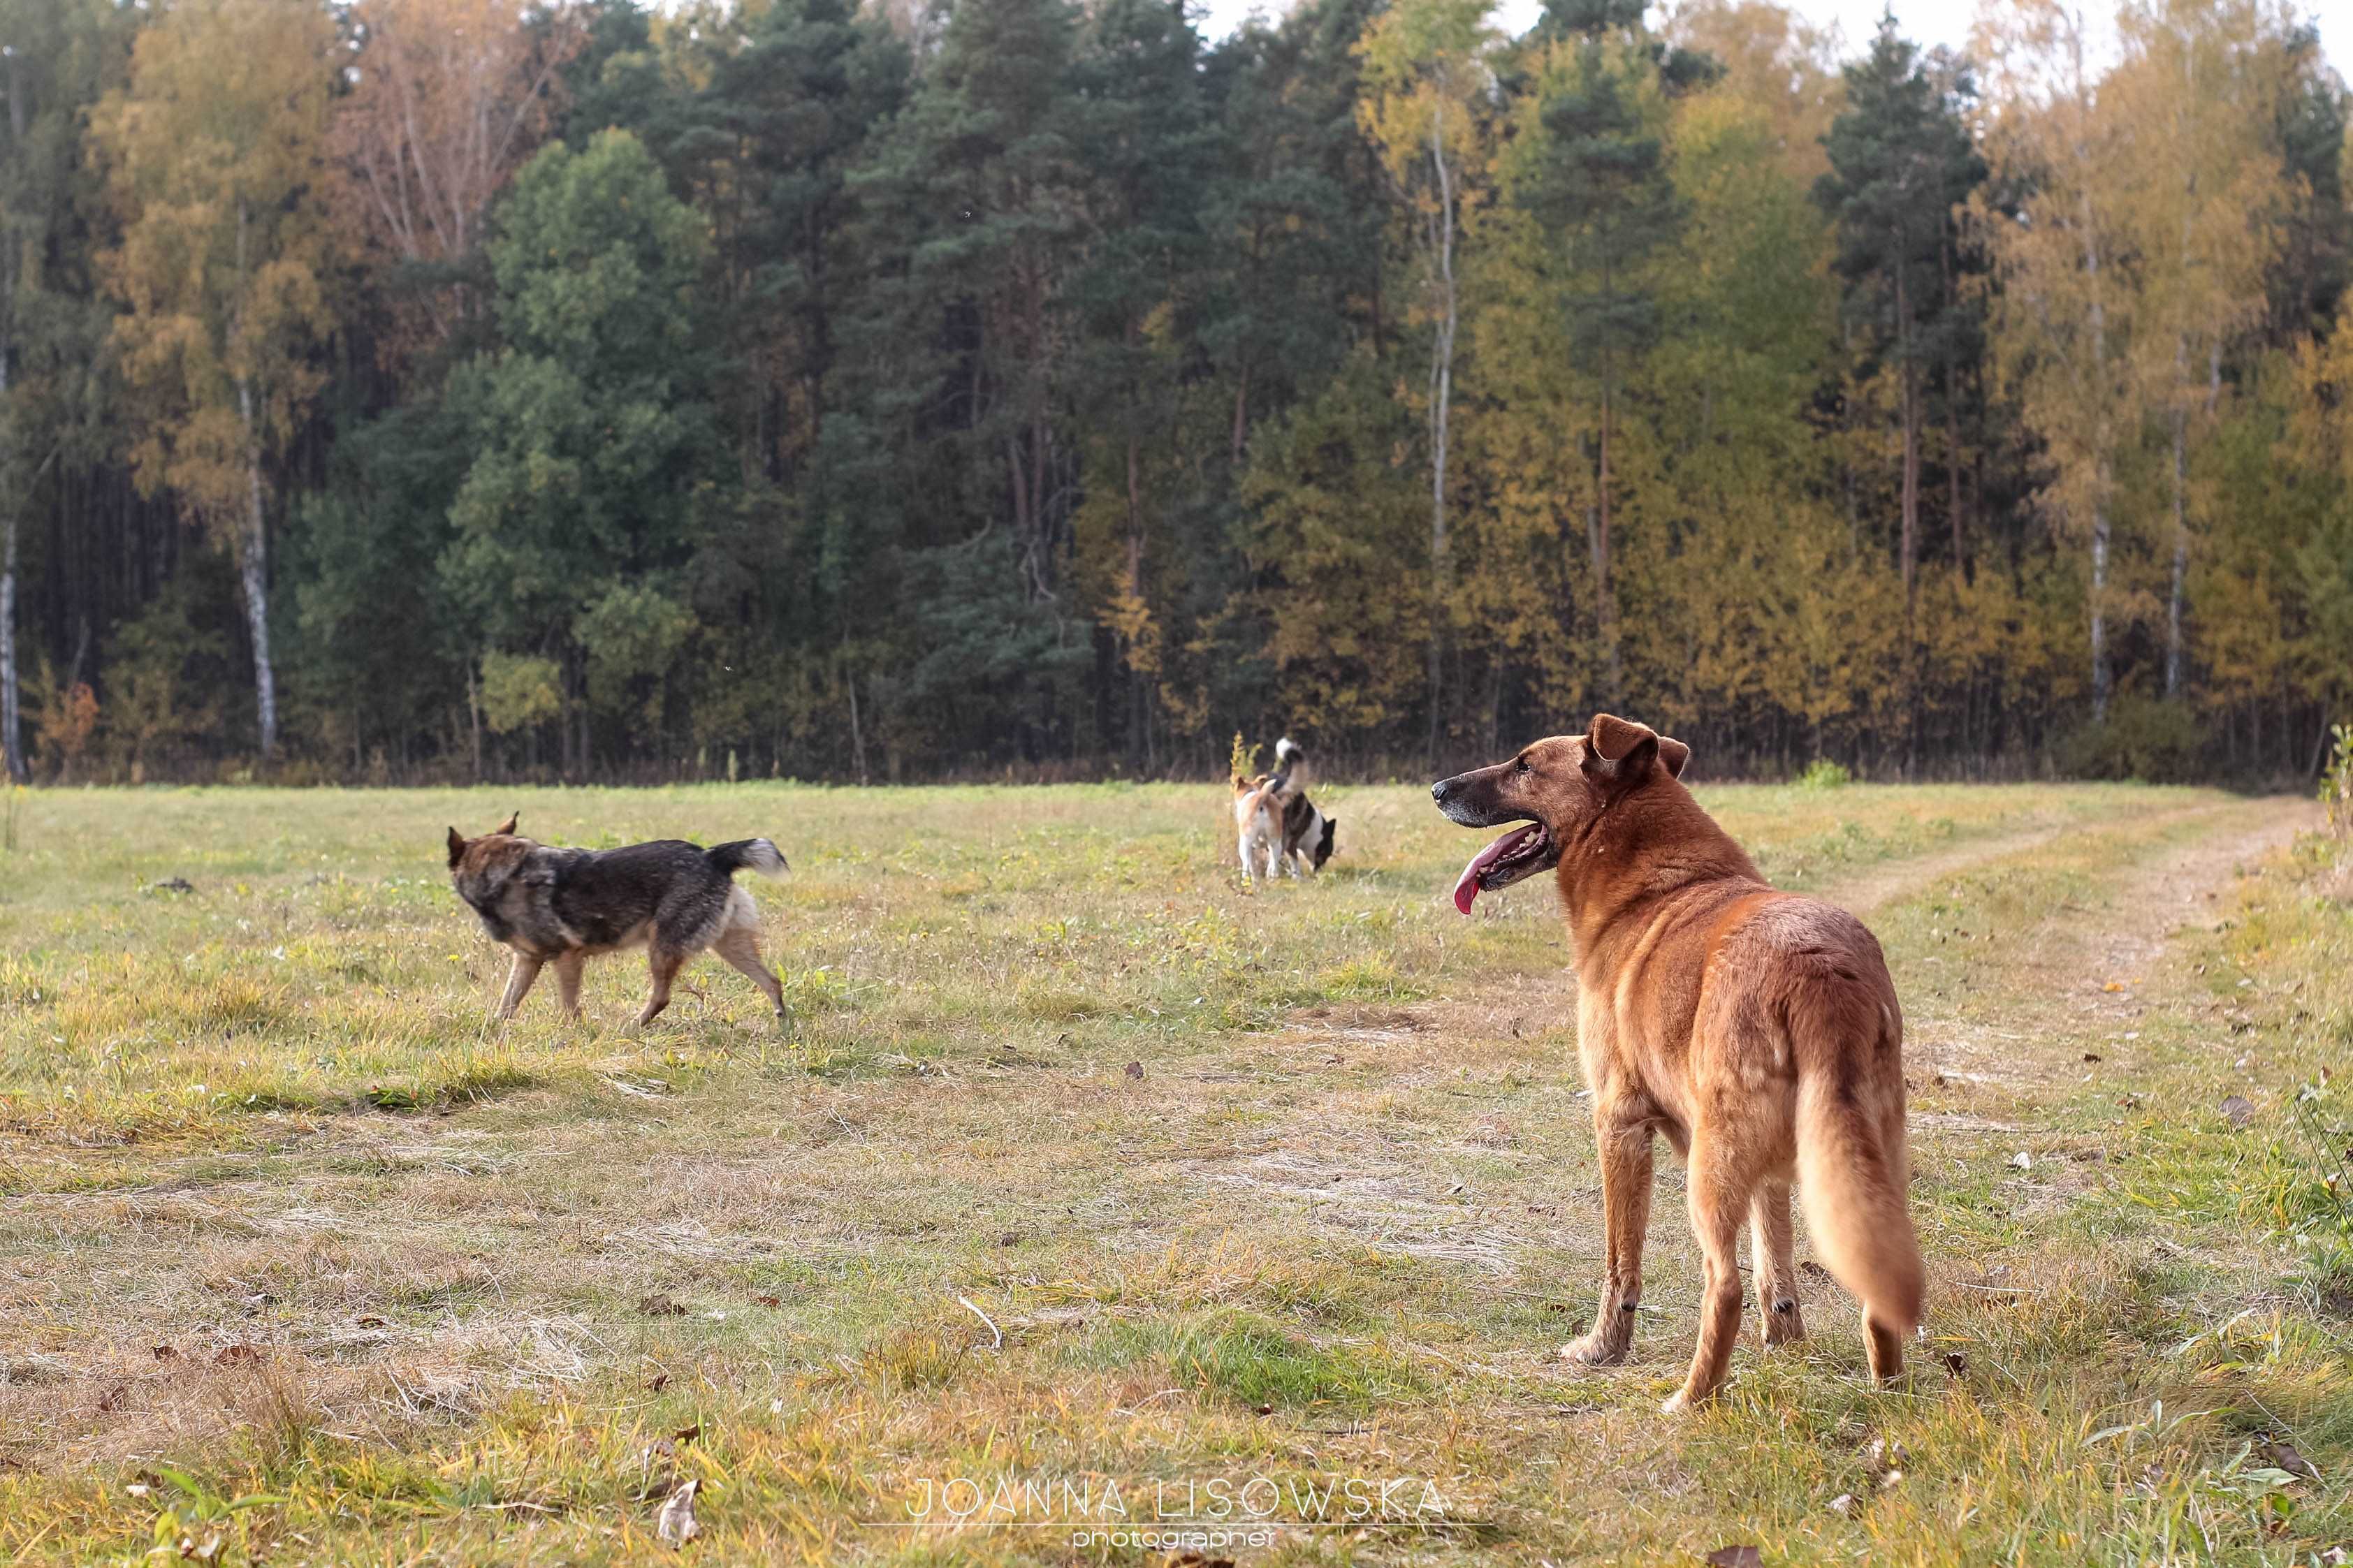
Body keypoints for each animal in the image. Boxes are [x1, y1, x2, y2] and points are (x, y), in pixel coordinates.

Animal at [444, 823, 795, 1030]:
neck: (505, 876)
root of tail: (711, 855)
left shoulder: (567, 957)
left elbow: (569, 1007)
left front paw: (574, 1036)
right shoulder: (527, 960)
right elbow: (507, 1003)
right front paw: (491, 1033)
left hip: (661, 949)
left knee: (662, 997)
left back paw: (632, 1025)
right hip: (728, 947)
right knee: (772, 981)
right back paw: (782, 1022)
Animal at [1421, 710, 1920, 1410]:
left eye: (1524, 764)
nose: (1438, 789)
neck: (1652, 881)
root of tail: (1818, 974)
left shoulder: (1619, 1122)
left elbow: (1620, 1263)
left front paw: (1603, 1349)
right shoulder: (1773, 1171)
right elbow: (1776, 1259)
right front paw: (1785, 1341)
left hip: (1709, 1168)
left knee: (1724, 1284)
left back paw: (1692, 1398)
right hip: (1868, 1157)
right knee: (1877, 1273)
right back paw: (1886, 1387)